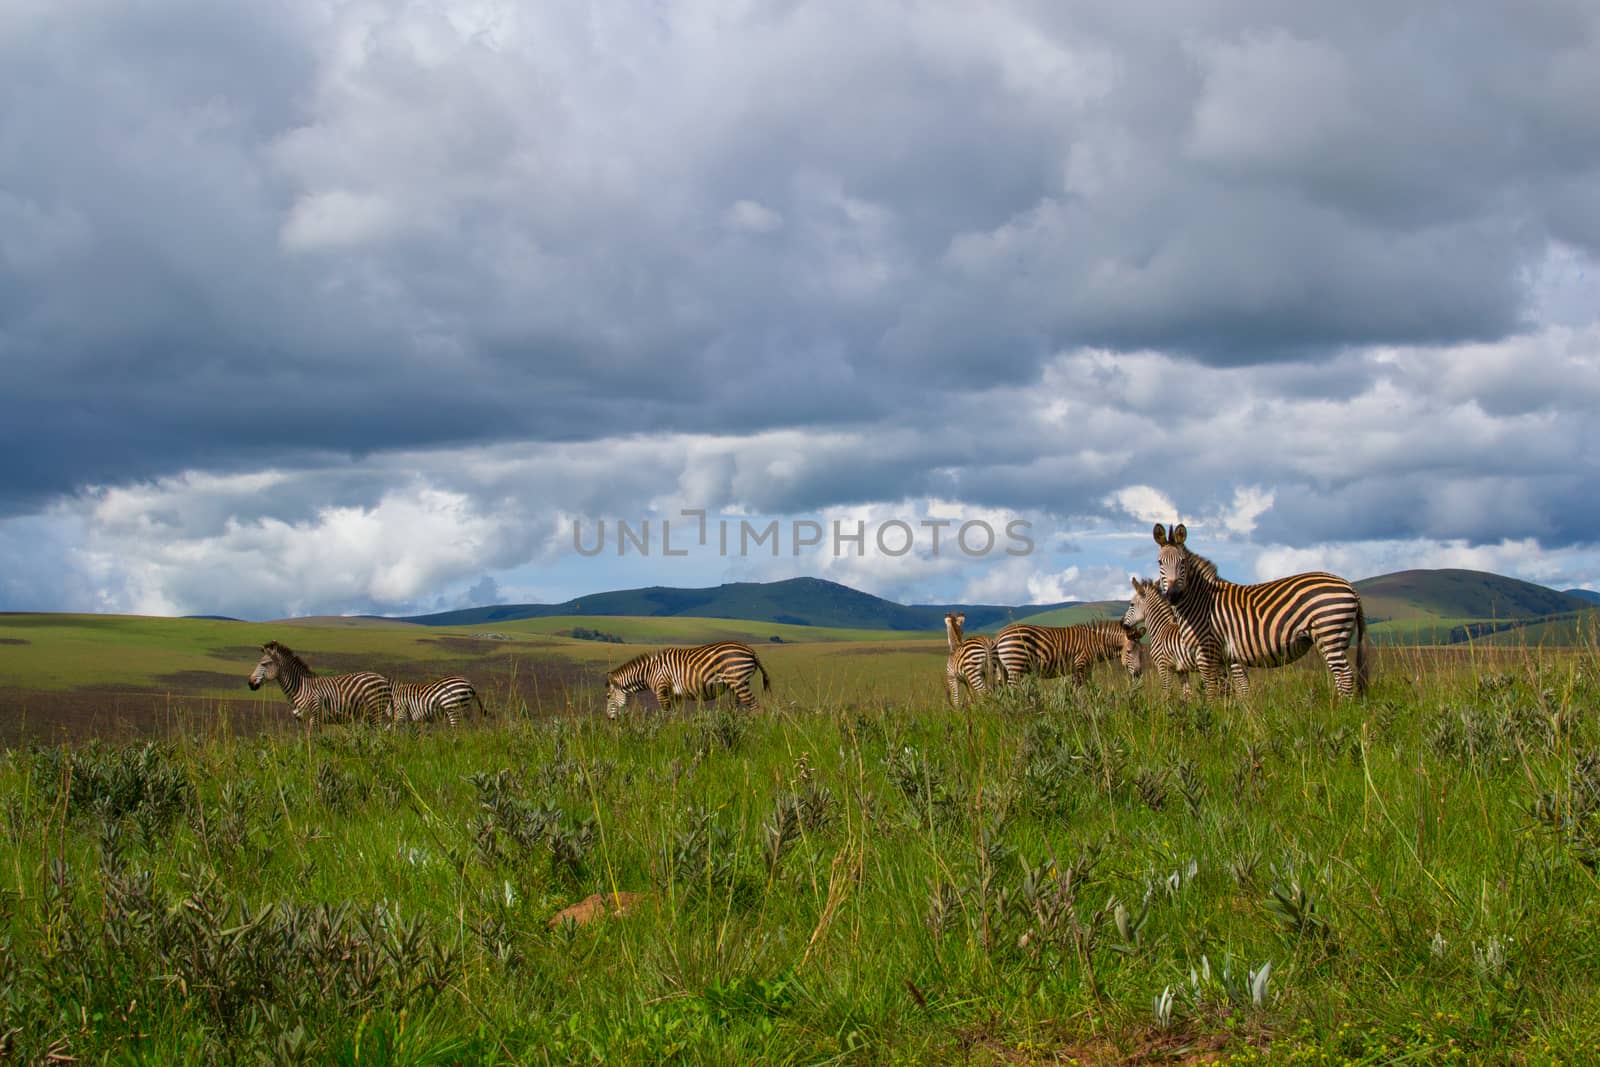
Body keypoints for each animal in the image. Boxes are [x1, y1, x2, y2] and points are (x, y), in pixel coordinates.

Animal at [244, 639, 392, 729]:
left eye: (264, 664)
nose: (250, 683)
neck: (300, 687)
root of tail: (383, 679)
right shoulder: (301, 719)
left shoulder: (314, 717)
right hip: (368, 715)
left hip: (376, 712)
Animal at [601, 639, 771, 723]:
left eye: (608, 697)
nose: (609, 719)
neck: (650, 671)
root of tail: (751, 650)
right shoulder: (675, 695)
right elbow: (675, 716)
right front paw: (676, 733)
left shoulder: (662, 689)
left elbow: (666, 716)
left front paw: (666, 737)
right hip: (736, 685)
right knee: (736, 708)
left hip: (738, 681)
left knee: (756, 707)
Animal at [992, 620, 1145, 687]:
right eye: (1129, 651)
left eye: (1142, 653)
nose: (1138, 674)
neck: (1095, 643)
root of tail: (999, 635)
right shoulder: (1080, 665)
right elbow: (1079, 691)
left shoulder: (1086, 669)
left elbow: (1088, 688)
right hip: (1016, 664)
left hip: (1003, 669)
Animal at [1152, 521, 1376, 697]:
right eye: (1160, 562)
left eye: (1182, 563)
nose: (1173, 595)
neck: (1201, 602)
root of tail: (1349, 585)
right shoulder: (1226, 656)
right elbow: (1231, 690)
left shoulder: (1207, 650)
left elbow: (1211, 690)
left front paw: (1211, 718)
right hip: (1335, 636)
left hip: (1329, 633)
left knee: (1344, 676)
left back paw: (1341, 712)